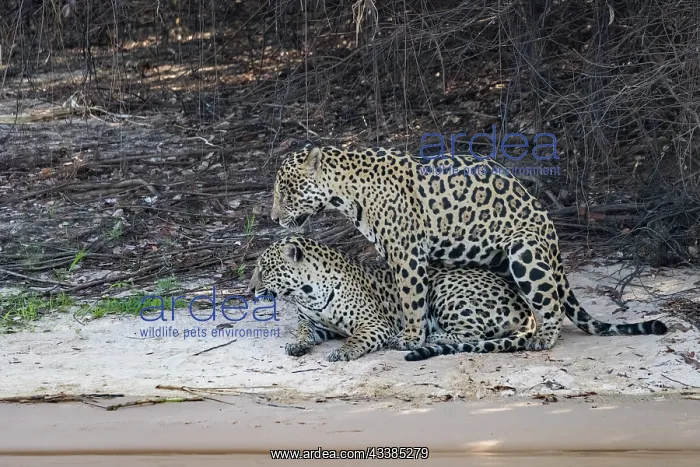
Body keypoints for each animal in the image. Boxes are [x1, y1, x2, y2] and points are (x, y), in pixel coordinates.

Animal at [247, 235, 538, 362]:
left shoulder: (373, 324)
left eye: (265, 269)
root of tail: (526, 308)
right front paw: (297, 345)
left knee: (473, 335)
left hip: (446, 288)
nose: (249, 290)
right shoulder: (313, 323)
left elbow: (356, 338)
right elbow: (303, 331)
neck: (307, 292)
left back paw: (433, 336)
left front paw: (343, 351)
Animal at [269, 141, 668, 352]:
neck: (347, 192)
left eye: (285, 190)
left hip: (523, 251)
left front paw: (410, 336)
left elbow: (411, 298)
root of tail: (551, 232)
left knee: (549, 303)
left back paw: (542, 338)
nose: (272, 218)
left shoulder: (406, 252)